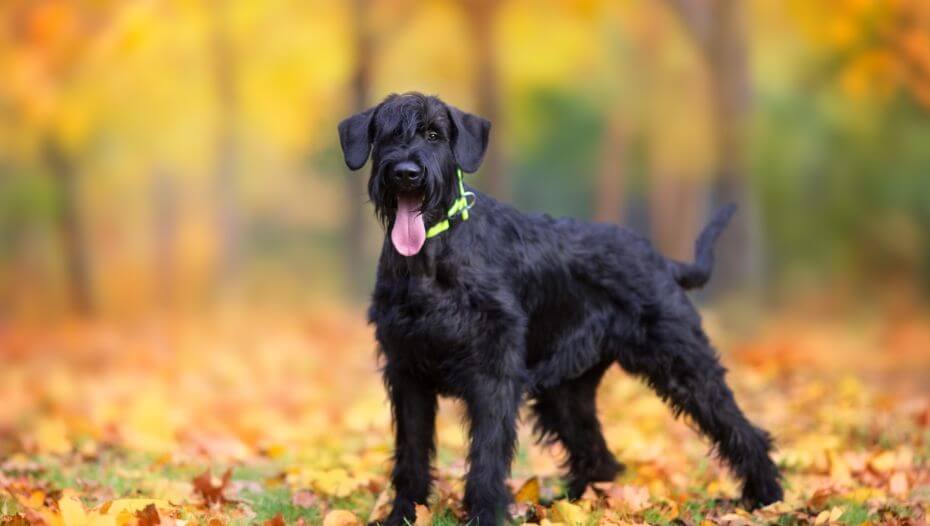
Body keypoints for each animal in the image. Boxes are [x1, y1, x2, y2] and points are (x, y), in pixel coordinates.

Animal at [338, 93, 780, 524]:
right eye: (388, 135)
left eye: (433, 134)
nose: (406, 173)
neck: (430, 259)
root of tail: (661, 260)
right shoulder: (407, 372)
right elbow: (411, 454)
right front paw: (403, 515)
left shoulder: (493, 376)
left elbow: (486, 457)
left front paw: (484, 516)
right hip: (565, 392)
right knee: (597, 455)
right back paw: (574, 506)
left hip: (684, 362)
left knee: (741, 429)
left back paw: (766, 498)